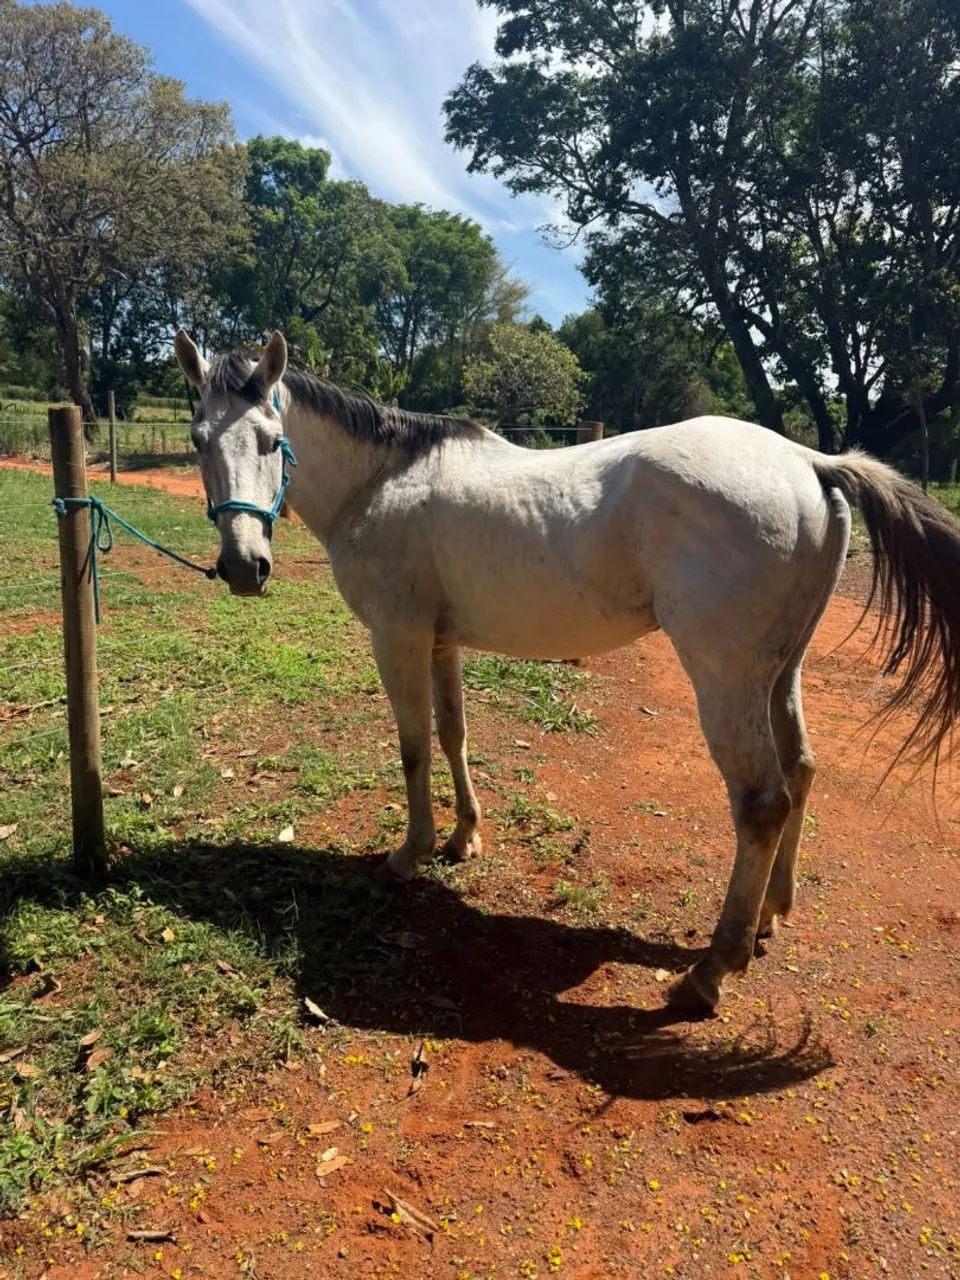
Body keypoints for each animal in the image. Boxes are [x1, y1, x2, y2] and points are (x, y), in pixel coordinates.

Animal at [174, 329, 960, 1015]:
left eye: (272, 440)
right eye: (199, 441)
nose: (244, 568)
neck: (383, 481)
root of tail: (808, 461)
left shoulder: (397, 637)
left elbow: (414, 748)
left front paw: (411, 853)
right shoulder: (441, 643)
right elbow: (455, 736)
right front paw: (464, 838)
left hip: (726, 678)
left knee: (763, 801)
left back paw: (711, 971)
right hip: (780, 672)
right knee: (800, 771)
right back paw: (770, 914)